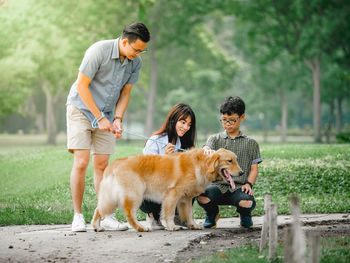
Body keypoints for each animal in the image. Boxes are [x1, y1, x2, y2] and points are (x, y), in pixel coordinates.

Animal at [91, 148, 242, 233]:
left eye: (236, 160)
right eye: (229, 161)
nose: (242, 172)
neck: (200, 164)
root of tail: (116, 163)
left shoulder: (185, 199)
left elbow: (189, 214)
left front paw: (193, 225)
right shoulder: (172, 194)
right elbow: (169, 213)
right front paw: (172, 226)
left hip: (112, 198)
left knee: (98, 209)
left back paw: (97, 227)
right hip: (135, 195)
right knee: (130, 214)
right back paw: (141, 228)